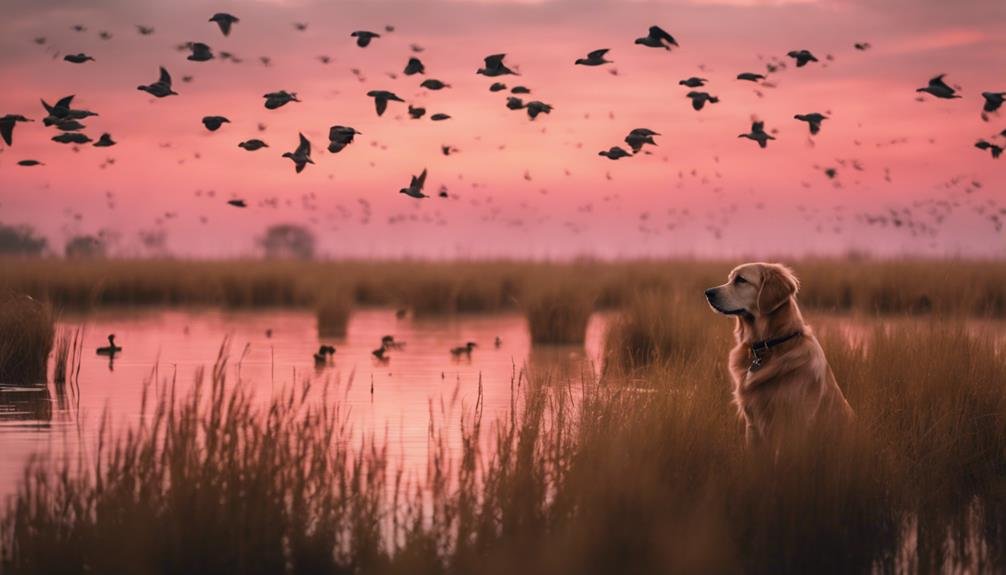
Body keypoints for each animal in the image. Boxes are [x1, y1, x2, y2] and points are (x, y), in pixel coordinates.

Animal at [704, 261, 853, 448]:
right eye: (730, 278)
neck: (771, 344)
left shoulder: (792, 425)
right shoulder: (752, 425)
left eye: (741, 280)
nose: (708, 292)